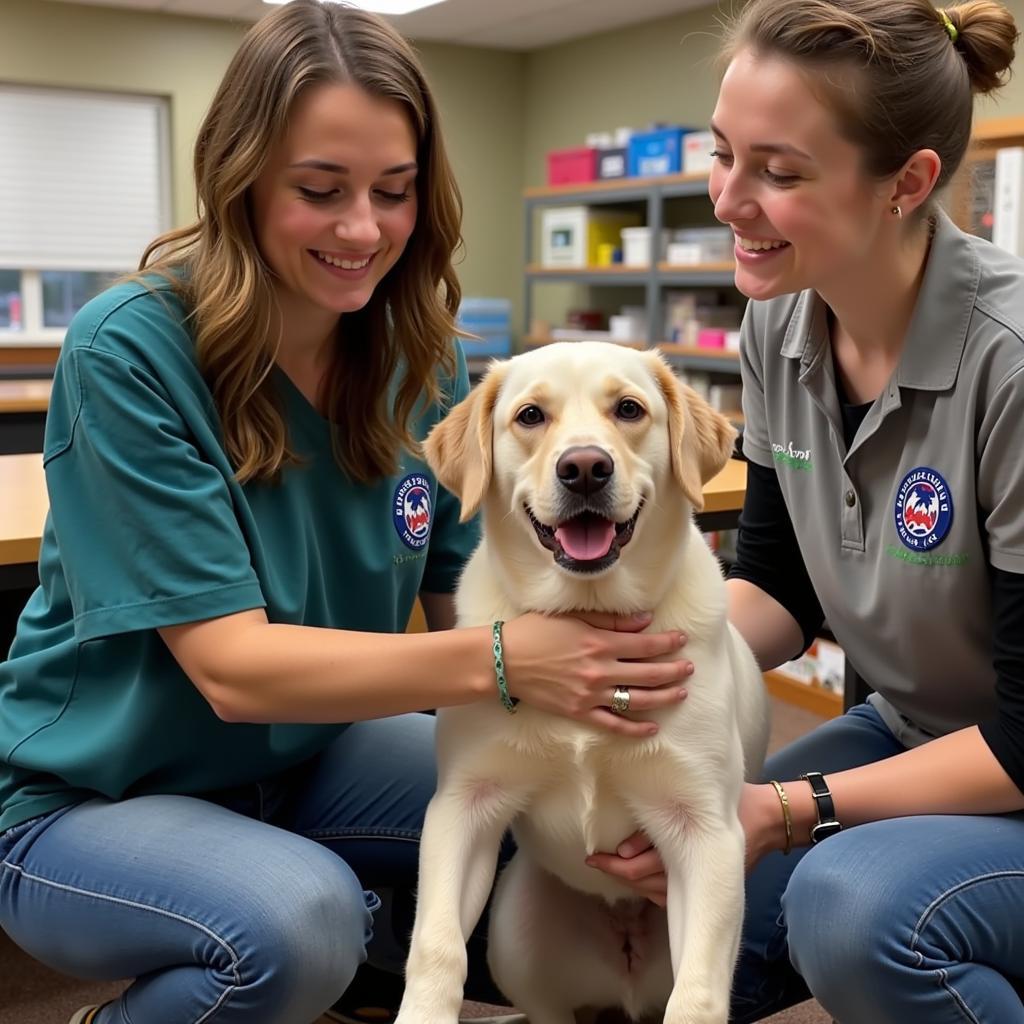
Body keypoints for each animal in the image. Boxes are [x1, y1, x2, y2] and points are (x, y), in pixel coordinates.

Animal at [395, 342, 770, 1024]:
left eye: (629, 409)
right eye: (530, 416)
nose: (586, 468)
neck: (585, 616)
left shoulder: (706, 833)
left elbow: (698, 995)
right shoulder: (462, 806)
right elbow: (435, 950)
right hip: (514, 929)